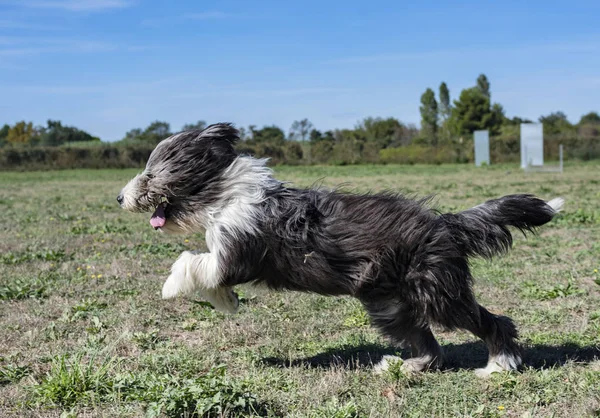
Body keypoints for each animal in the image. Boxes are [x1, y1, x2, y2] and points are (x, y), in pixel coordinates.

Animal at [117, 122, 564, 378]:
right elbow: (209, 272)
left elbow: (194, 262)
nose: (120, 198)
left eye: (151, 174)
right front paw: (225, 301)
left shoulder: (238, 251)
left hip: (436, 291)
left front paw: (171, 287)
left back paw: (499, 365)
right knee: (427, 343)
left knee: (493, 321)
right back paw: (404, 367)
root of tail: (444, 223)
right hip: (390, 303)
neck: (225, 195)